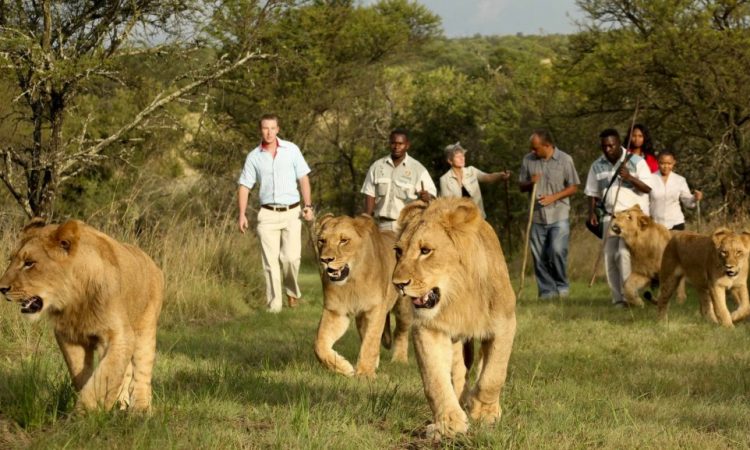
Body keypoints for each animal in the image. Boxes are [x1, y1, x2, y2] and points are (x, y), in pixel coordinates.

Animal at [0, 218, 164, 412]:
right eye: (11, 260)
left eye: (29, 263)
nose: (2, 288)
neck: (75, 301)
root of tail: (152, 262)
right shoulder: (69, 337)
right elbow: (83, 375)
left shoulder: (120, 336)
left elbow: (104, 375)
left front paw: (85, 412)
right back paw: (121, 403)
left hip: (145, 330)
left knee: (142, 373)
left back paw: (140, 409)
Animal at [314, 214, 414, 376]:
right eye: (322, 241)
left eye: (344, 240)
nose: (325, 260)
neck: (352, 281)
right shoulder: (336, 312)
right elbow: (319, 344)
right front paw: (344, 368)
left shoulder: (376, 309)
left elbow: (371, 341)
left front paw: (365, 373)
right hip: (361, 317)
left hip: (403, 309)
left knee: (400, 331)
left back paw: (400, 360)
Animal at [394, 198, 516, 440]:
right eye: (398, 251)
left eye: (425, 250)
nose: (398, 284)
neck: (458, 297)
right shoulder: (429, 328)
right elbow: (435, 380)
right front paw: (449, 423)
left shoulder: (505, 323)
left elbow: (493, 375)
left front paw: (484, 412)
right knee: (458, 374)